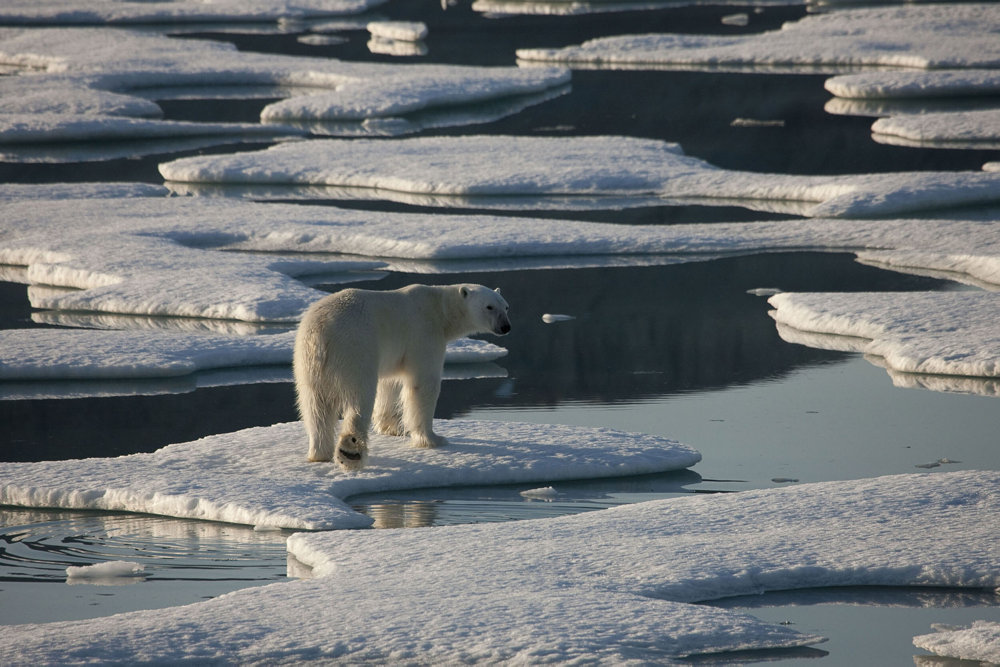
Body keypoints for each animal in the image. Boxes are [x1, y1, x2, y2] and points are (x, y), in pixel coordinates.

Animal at [290, 284, 508, 472]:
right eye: (489, 306)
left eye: (506, 306)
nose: (506, 326)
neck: (440, 309)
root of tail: (321, 333)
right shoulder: (424, 334)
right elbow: (423, 385)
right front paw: (433, 439)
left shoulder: (394, 353)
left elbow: (390, 383)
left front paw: (391, 428)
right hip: (354, 348)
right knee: (359, 397)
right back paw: (350, 452)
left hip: (306, 361)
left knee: (314, 405)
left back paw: (319, 453)